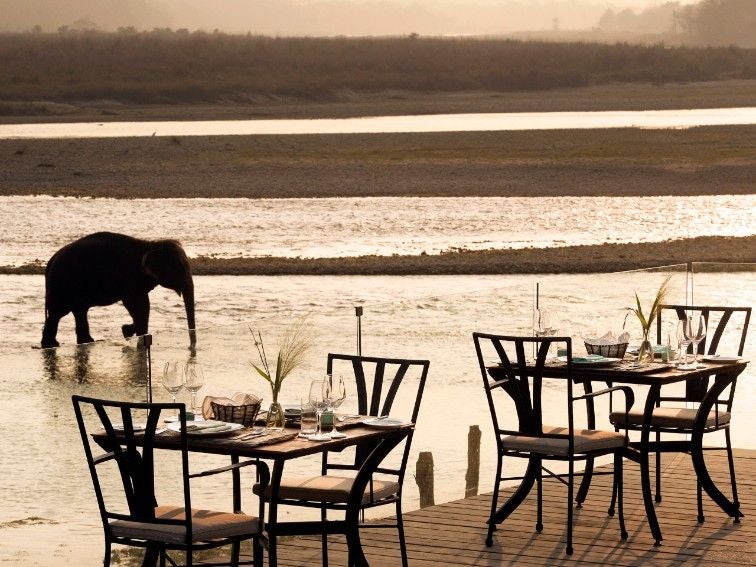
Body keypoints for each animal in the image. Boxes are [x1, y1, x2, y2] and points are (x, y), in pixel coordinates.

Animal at [40, 232, 196, 348]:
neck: (151, 245)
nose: (191, 346)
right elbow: (140, 305)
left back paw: (85, 341)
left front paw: (126, 331)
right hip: (62, 286)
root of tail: (50, 261)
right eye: (180, 268)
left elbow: (137, 306)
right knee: (58, 313)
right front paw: (137, 336)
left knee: (76, 312)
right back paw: (53, 345)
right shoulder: (131, 277)